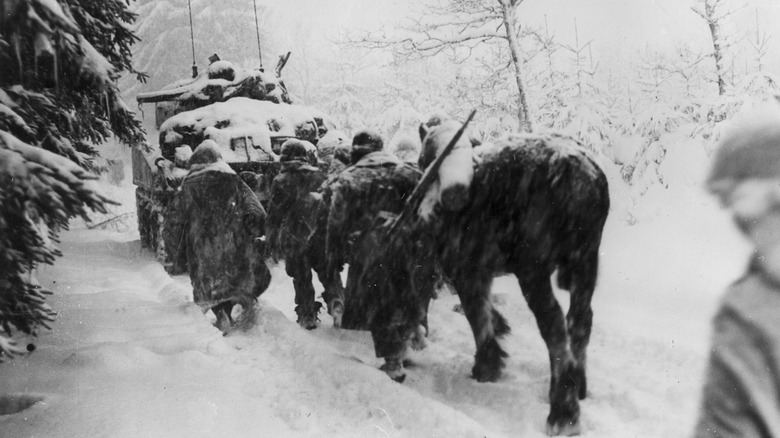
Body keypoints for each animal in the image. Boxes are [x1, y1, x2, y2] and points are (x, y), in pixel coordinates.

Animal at [414, 119, 608, 434]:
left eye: (422, 159)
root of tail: (581, 176)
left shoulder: (467, 270)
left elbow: (478, 317)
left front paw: (487, 365)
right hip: (585, 265)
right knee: (579, 322)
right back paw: (577, 386)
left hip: (533, 271)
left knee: (555, 328)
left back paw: (562, 411)